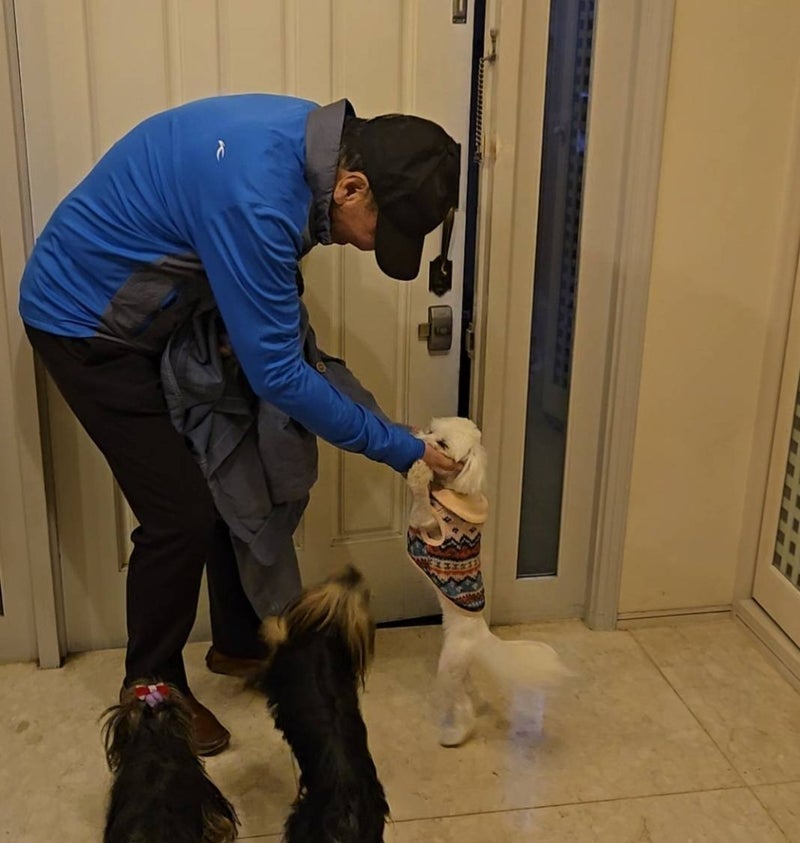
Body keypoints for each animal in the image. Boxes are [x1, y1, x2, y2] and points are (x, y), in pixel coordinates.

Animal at [407, 416, 569, 747]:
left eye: (442, 444)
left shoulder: (425, 524)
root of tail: (481, 636)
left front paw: (419, 471)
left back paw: (454, 735)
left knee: (463, 708)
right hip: (461, 668)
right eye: (432, 429)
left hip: (449, 666)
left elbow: (419, 506)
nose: (417, 436)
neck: (456, 490)